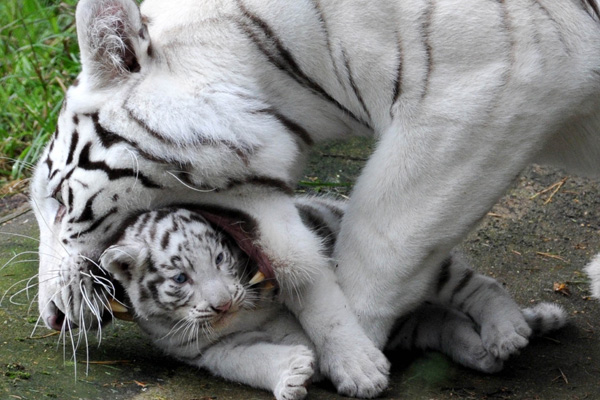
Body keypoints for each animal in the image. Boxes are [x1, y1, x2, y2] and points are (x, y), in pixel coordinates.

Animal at [99, 200, 568, 400]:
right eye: (181, 278)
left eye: (219, 259)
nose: (223, 303)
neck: (235, 320)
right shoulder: (211, 351)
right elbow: (249, 362)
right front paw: (292, 372)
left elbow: (324, 314)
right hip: (413, 326)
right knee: (443, 320)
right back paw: (481, 352)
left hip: (430, 274)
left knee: (482, 286)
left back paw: (506, 333)